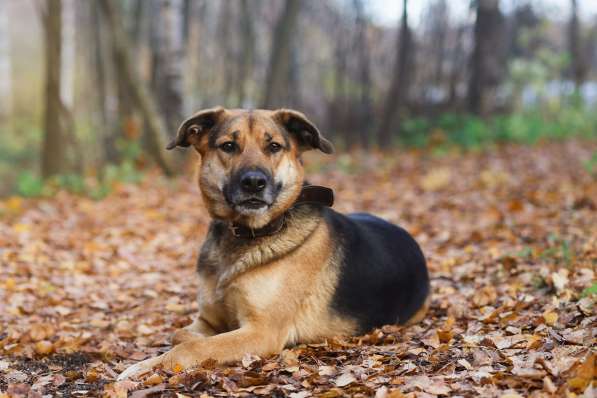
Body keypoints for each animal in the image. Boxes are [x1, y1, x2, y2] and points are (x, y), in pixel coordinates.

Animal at [118, 106, 428, 380]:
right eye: (228, 146)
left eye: (274, 146)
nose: (254, 182)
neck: (244, 235)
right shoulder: (208, 320)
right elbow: (180, 334)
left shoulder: (261, 331)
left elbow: (191, 346)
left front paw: (142, 368)